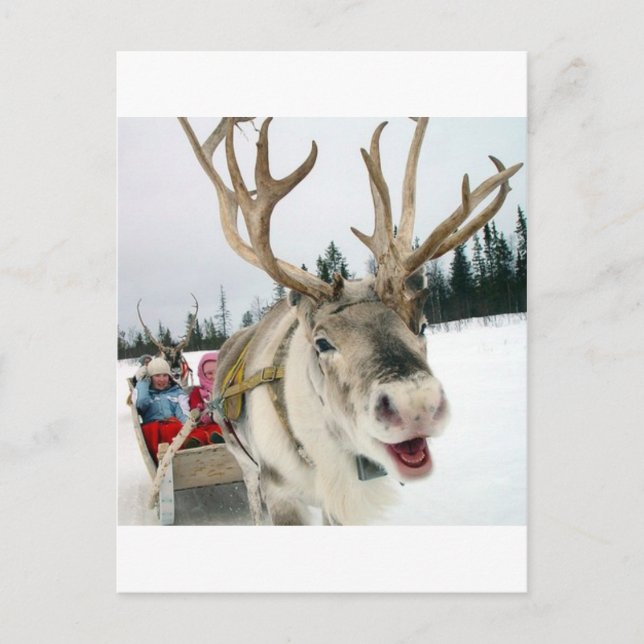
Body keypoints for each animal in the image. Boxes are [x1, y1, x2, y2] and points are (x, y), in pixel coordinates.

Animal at [179, 117, 522, 525]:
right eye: (322, 342)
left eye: (422, 326)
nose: (415, 405)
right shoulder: (280, 492)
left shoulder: (340, 504)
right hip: (244, 464)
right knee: (252, 498)